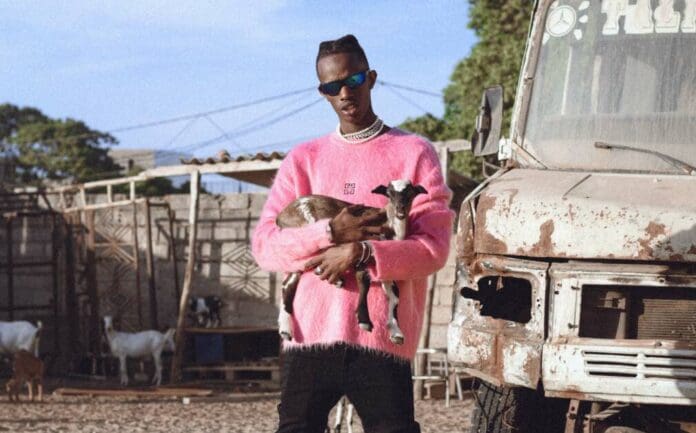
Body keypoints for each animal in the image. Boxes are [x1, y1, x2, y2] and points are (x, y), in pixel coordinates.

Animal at [274, 179, 426, 344]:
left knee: (289, 281)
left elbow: (395, 296)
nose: (400, 209)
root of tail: (281, 215)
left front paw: (396, 332)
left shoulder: (385, 266)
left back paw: (285, 329)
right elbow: (364, 281)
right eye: (389, 193)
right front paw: (364, 320)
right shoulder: (362, 252)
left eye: (410, 192)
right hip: (305, 222)